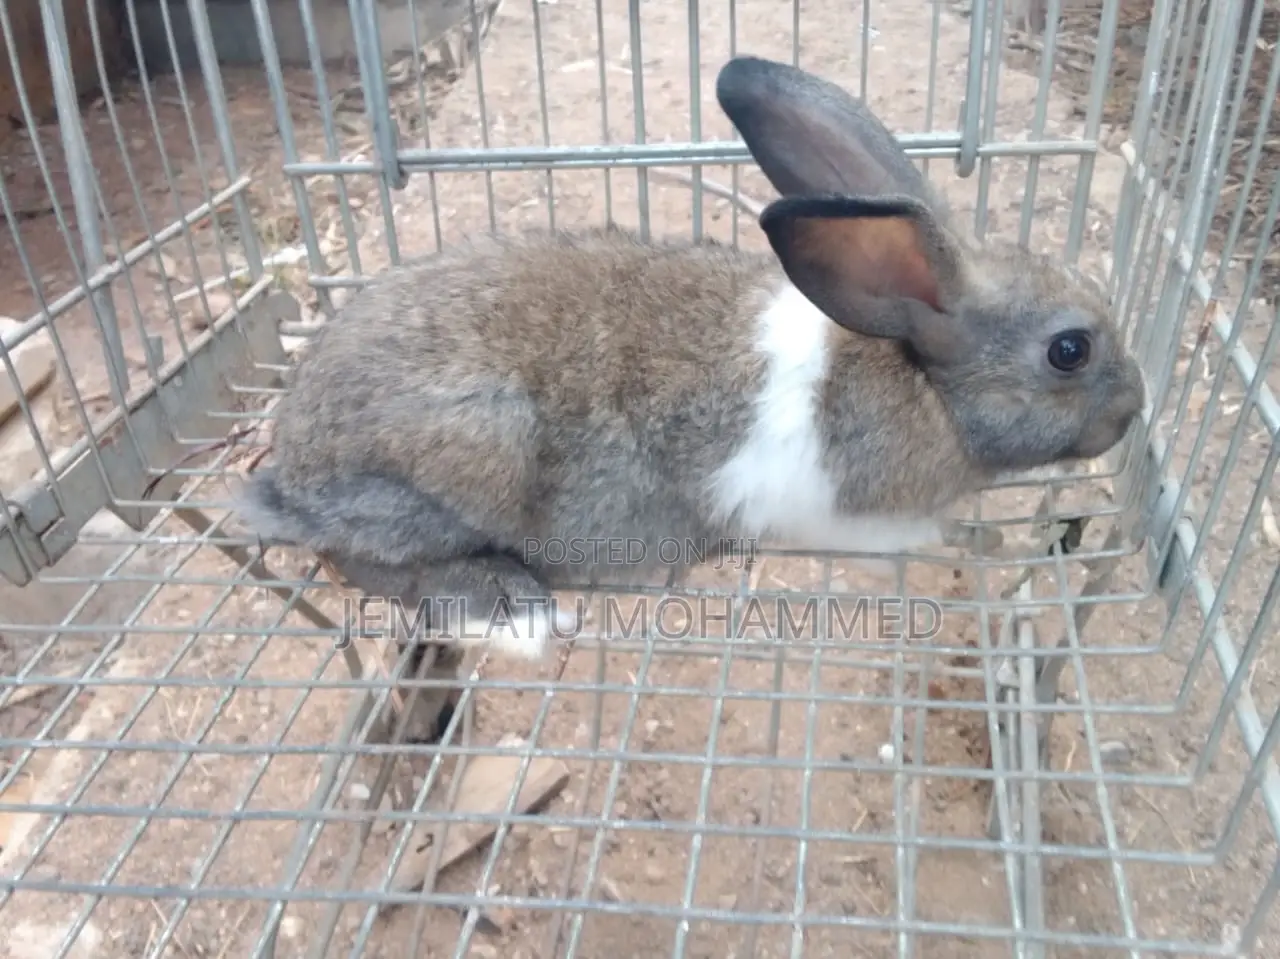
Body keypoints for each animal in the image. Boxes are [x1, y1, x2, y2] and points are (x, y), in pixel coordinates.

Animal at [236, 54, 1147, 672]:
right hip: (475, 447)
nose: (1132, 409)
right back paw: (511, 609)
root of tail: (290, 464)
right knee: (361, 559)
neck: (918, 371)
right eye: (1070, 350)